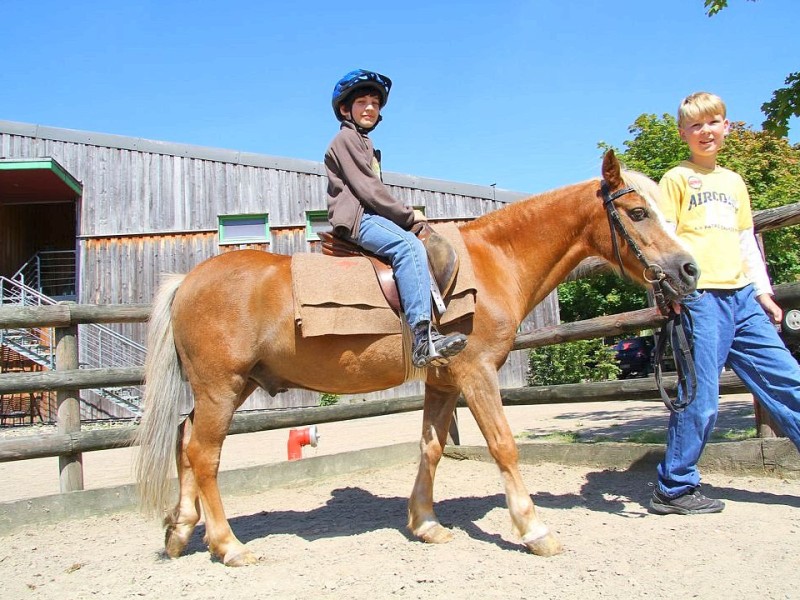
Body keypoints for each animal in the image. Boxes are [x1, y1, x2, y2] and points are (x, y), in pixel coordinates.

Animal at [134, 152, 696, 564]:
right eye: (638, 213)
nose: (688, 269)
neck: (490, 262)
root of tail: (188, 280)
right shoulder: (477, 372)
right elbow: (503, 446)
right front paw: (534, 529)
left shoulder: (444, 380)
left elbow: (431, 447)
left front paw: (426, 524)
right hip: (221, 387)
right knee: (203, 454)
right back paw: (228, 545)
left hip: (232, 386)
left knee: (184, 440)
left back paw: (180, 530)